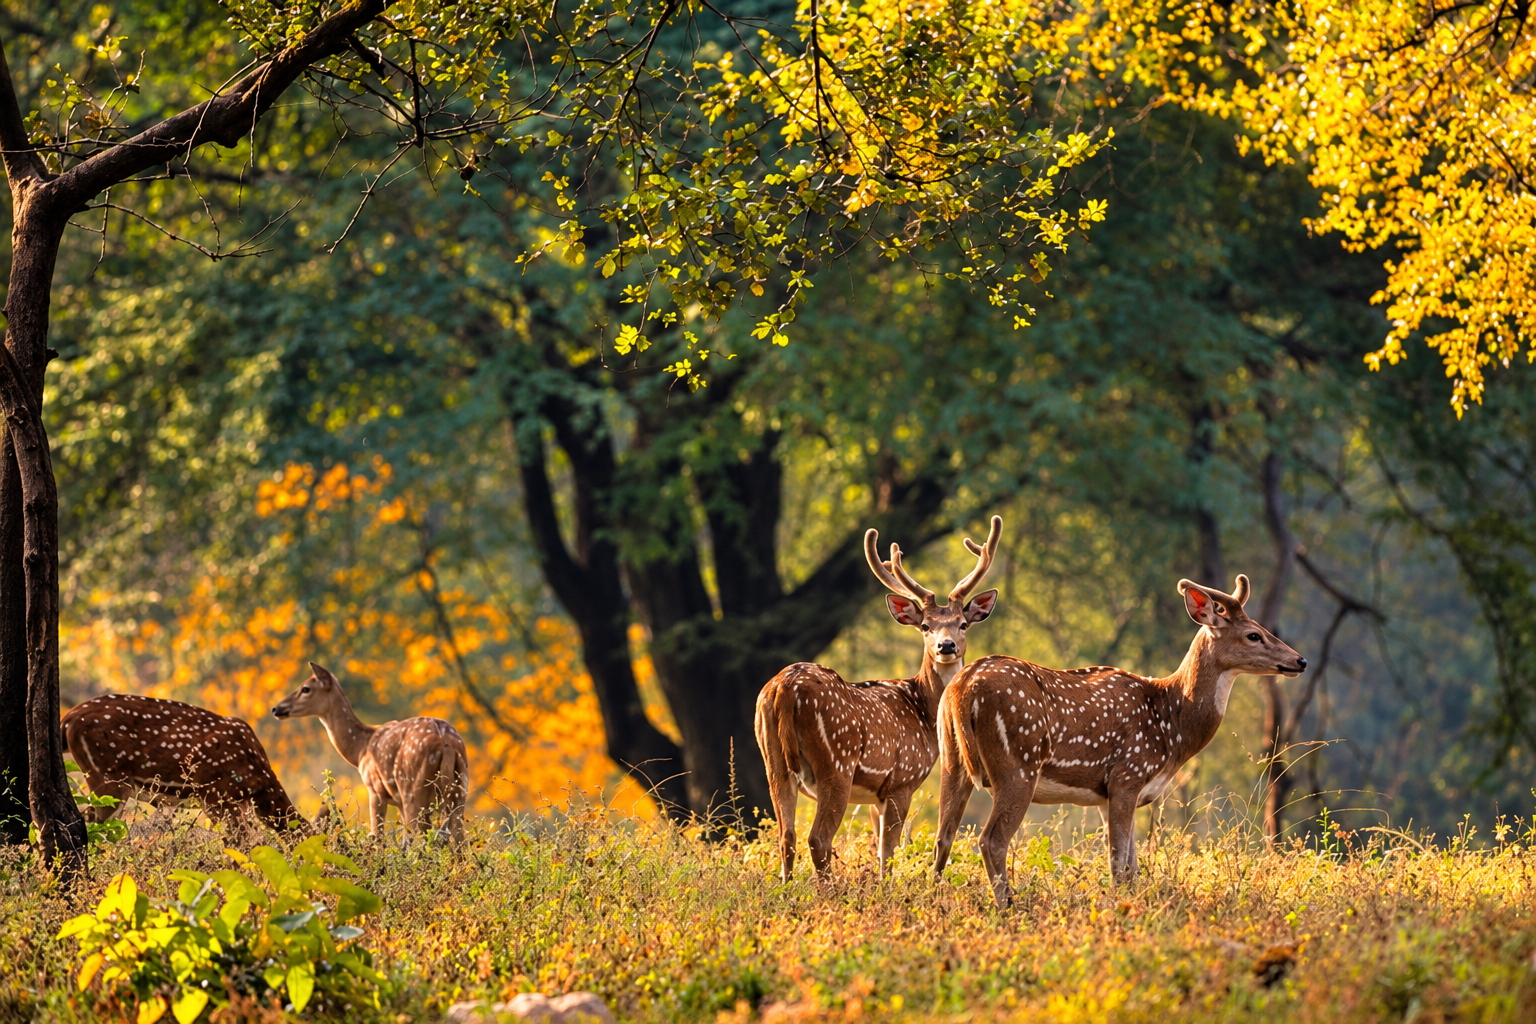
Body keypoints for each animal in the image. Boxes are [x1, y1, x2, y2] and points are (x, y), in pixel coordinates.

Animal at [271, 662, 468, 844]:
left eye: (305, 688)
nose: (276, 708)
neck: (360, 750)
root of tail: (445, 743)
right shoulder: (397, 801)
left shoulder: (374, 790)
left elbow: (377, 836)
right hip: (460, 787)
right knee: (459, 838)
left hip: (412, 788)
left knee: (421, 837)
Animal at [754, 515, 1002, 882]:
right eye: (925, 626)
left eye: (963, 624)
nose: (946, 646)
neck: (923, 709)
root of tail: (784, 689)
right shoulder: (902, 780)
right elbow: (889, 853)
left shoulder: (875, 796)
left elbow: (879, 849)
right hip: (837, 764)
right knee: (818, 838)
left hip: (772, 760)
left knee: (786, 836)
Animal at [932, 574, 1307, 906]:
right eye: (1253, 635)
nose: (1300, 660)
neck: (1172, 725)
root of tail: (962, 688)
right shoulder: (1127, 775)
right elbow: (1119, 865)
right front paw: (1120, 908)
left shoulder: (1107, 794)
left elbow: (1132, 866)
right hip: (1018, 764)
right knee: (991, 839)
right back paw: (1008, 907)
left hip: (952, 759)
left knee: (944, 835)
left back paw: (935, 898)